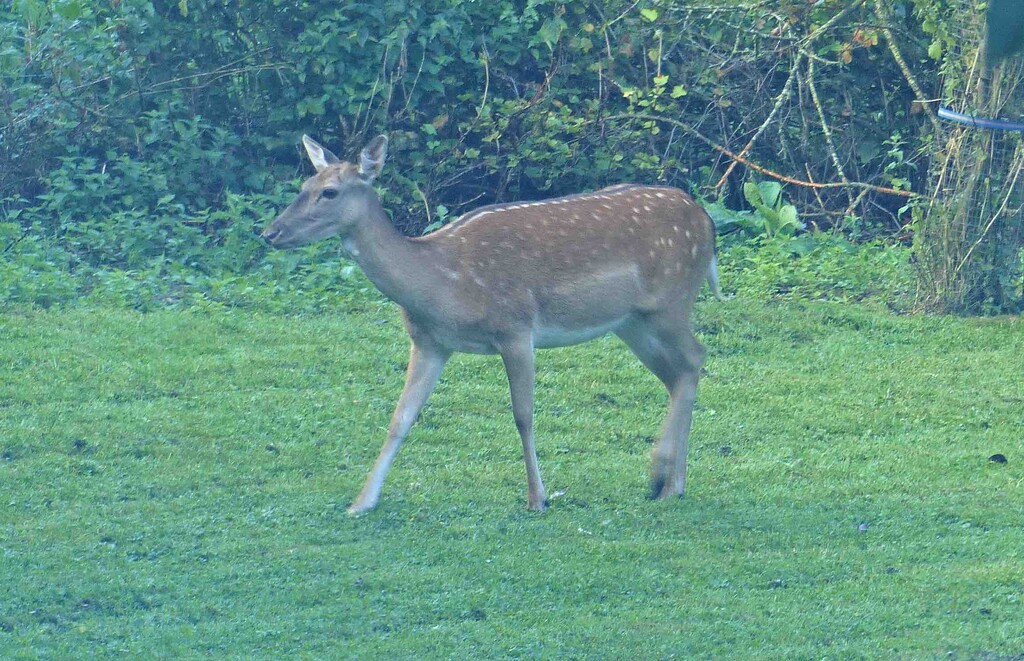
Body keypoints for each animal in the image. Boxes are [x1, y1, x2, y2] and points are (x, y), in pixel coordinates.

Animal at [264, 136, 729, 517]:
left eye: (329, 192)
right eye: (303, 185)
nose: (270, 232)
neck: (443, 284)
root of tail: (706, 220)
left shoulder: (516, 328)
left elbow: (523, 415)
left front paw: (537, 497)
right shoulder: (430, 342)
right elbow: (401, 417)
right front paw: (361, 502)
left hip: (670, 302)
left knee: (695, 357)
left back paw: (669, 482)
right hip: (631, 321)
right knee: (678, 372)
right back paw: (664, 480)